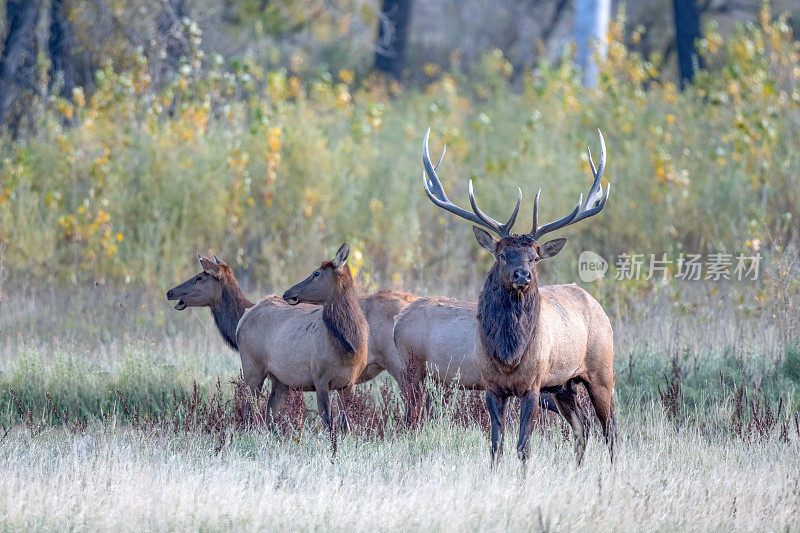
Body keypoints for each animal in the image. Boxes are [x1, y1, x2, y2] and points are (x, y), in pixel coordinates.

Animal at [422, 128, 616, 466]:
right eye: (502, 255)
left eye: (534, 258)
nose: (522, 275)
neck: (508, 356)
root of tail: (596, 304)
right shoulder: (491, 386)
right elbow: (496, 444)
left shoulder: (533, 385)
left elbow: (524, 445)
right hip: (563, 386)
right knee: (583, 428)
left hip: (602, 370)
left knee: (611, 429)